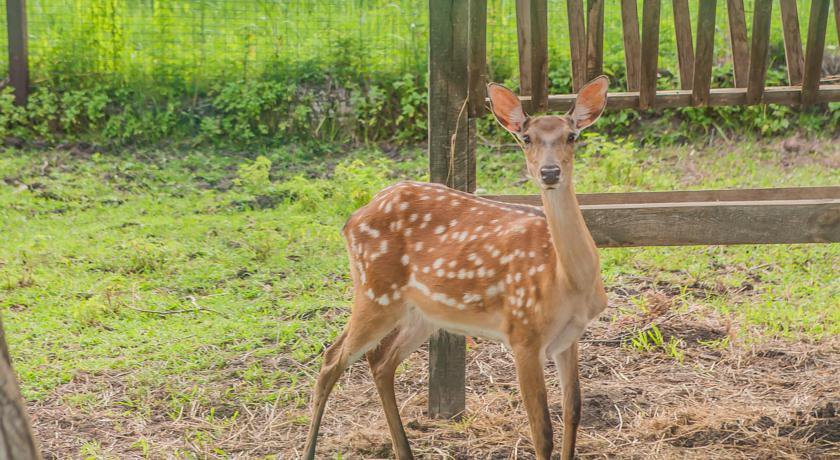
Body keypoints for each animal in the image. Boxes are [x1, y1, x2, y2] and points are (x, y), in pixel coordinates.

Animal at [304, 76, 612, 460]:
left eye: (572, 136)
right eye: (526, 138)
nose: (550, 172)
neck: (567, 281)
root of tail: (351, 220)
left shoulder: (569, 337)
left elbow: (573, 411)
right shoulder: (522, 334)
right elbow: (542, 431)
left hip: (422, 312)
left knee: (381, 361)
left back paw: (404, 451)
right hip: (375, 291)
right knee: (332, 359)